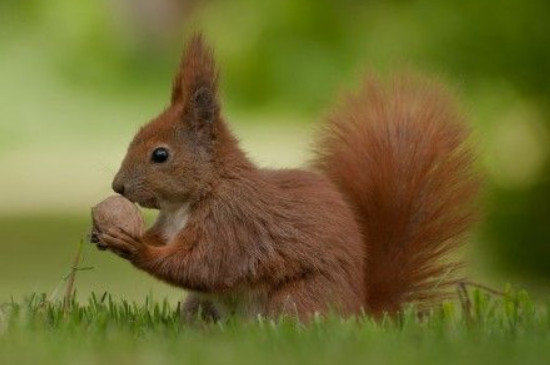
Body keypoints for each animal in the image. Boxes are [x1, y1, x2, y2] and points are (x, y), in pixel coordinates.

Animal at [97, 33, 480, 318]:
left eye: (160, 155)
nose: (118, 186)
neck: (192, 198)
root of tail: (359, 312)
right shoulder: (173, 225)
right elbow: (166, 243)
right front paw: (111, 234)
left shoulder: (233, 224)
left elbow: (203, 265)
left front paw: (135, 248)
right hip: (201, 306)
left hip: (297, 298)